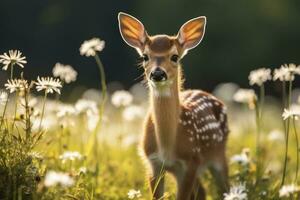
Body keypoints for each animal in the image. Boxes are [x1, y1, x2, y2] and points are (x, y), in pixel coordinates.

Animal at [118, 12, 230, 198]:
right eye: (145, 56)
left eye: (175, 57)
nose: (157, 73)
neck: (167, 148)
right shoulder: (153, 163)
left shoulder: (191, 161)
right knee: (202, 192)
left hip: (218, 154)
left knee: (224, 188)